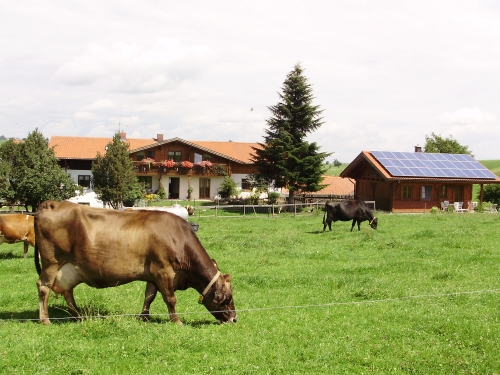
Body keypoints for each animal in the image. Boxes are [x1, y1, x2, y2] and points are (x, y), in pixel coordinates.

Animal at [34, 203, 237, 326]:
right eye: (227, 298)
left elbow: (149, 296)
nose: (234, 319)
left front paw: (144, 317)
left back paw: (79, 316)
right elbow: (170, 299)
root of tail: (50, 204)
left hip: (68, 269)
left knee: (68, 292)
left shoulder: (153, 274)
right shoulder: (163, 270)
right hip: (52, 263)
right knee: (44, 287)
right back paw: (45, 320)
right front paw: (177, 321)